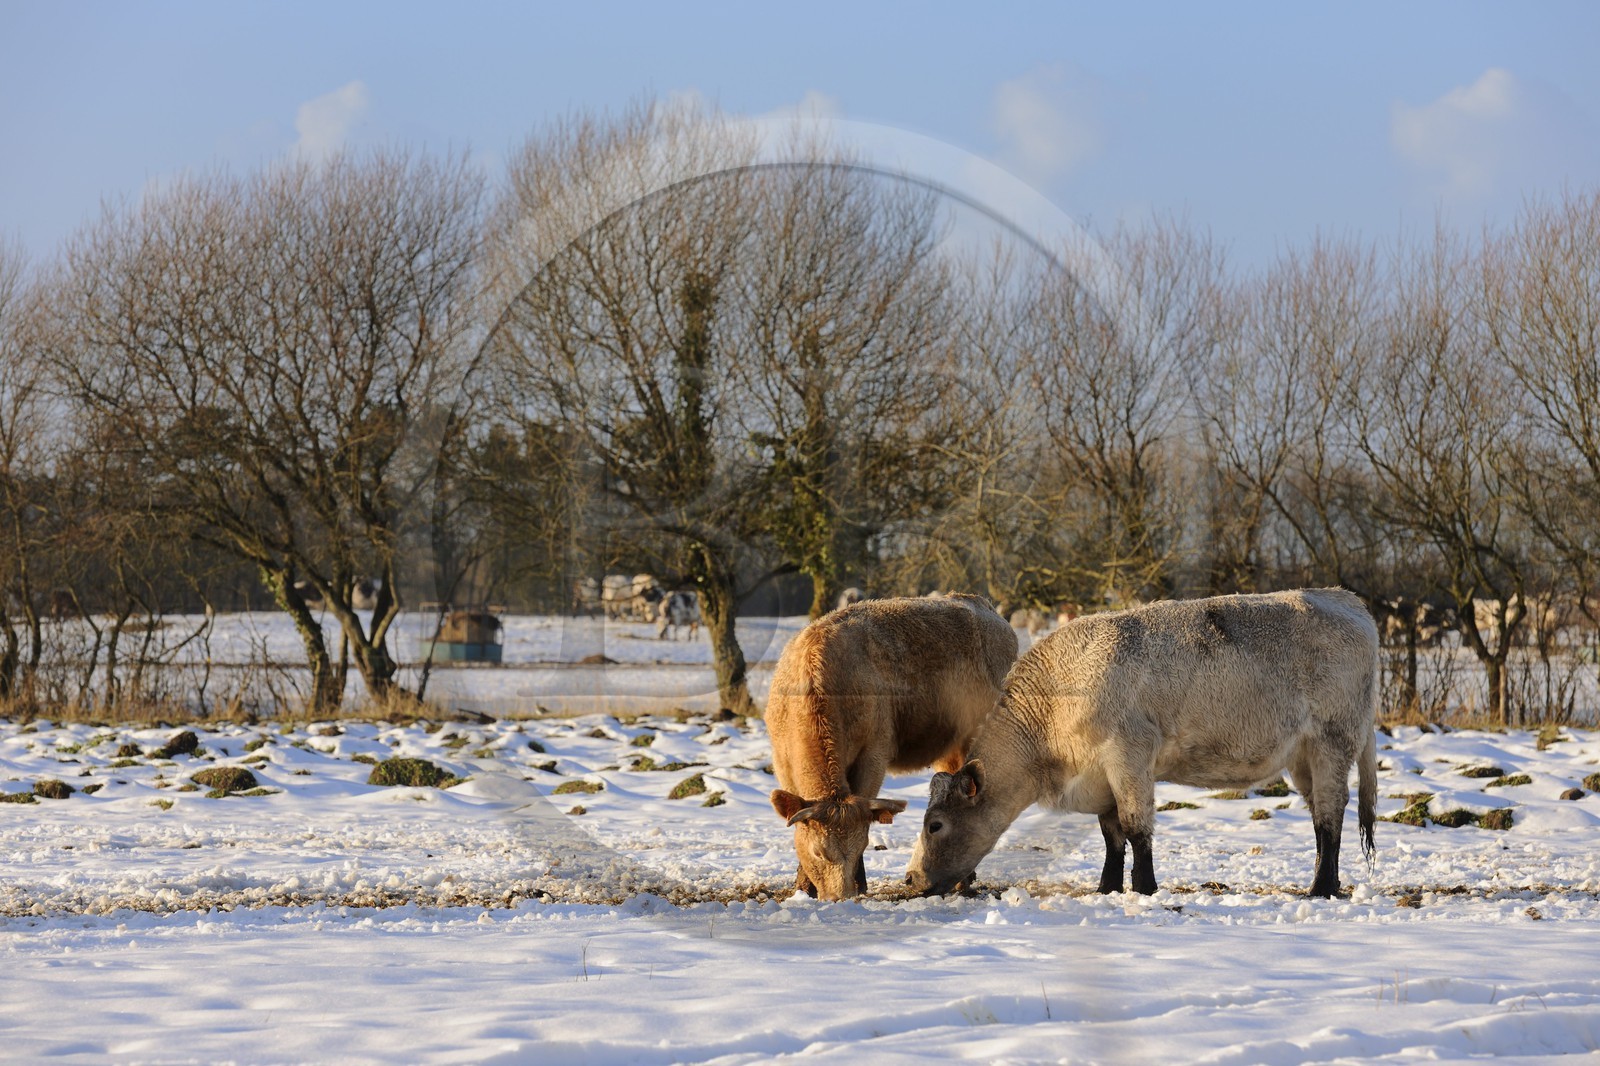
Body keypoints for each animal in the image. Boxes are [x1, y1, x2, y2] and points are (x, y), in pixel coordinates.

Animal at [766, 593, 1019, 900]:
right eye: (818, 852)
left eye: (861, 848)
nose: (841, 898)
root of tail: (981, 603)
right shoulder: (782, 764)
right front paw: (803, 888)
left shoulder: (873, 755)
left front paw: (860, 884)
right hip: (950, 748)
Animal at [907, 588, 1379, 900]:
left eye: (935, 825)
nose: (910, 878)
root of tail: (1344, 597)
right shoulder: (1100, 776)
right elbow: (1111, 834)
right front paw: (1107, 887)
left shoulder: (1128, 753)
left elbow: (1136, 828)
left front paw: (1145, 888)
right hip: (1301, 756)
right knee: (1319, 816)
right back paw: (1326, 882)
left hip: (1333, 742)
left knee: (1330, 816)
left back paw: (1320, 888)